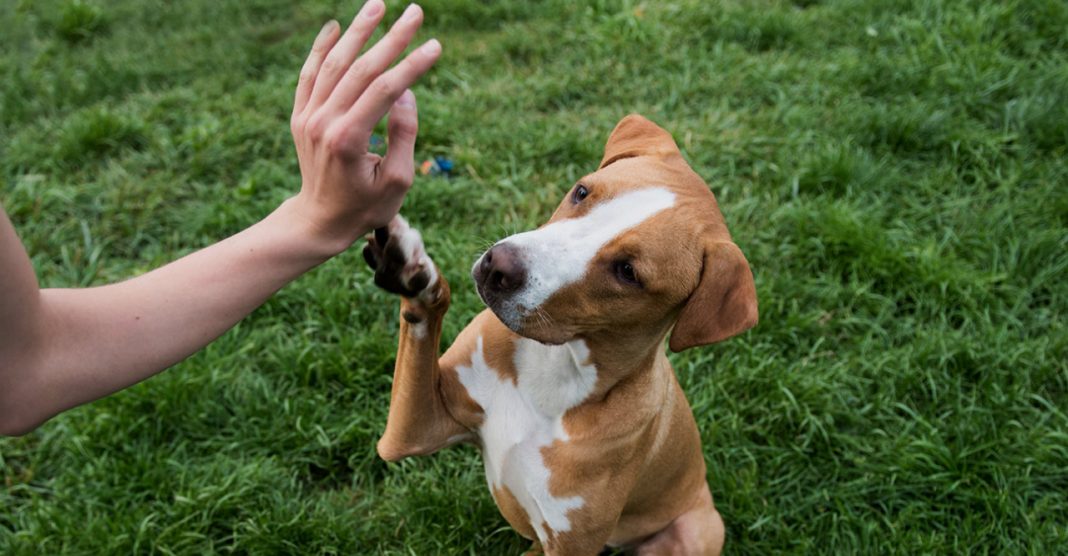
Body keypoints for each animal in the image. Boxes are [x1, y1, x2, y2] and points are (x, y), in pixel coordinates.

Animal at [363, 114, 756, 550]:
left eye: (627, 272)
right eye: (582, 191)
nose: (498, 267)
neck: (555, 367)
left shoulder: (571, 543)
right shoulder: (413, 431)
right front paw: (410, 268)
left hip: (694, 529)